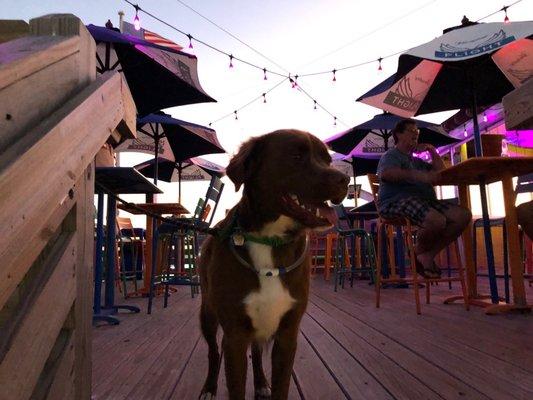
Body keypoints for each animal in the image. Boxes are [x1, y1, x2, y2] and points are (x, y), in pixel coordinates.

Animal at [198, 130, 350, 398]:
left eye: (328, 160)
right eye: (296, 156)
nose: (345, 179)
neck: (270, 239)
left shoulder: (288, 334)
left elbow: (281, 386)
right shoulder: (234, 336)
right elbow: (235, 385)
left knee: (257, 352)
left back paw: (260, 382)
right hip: (207, 313)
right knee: (213, 351)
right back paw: (209, 387)